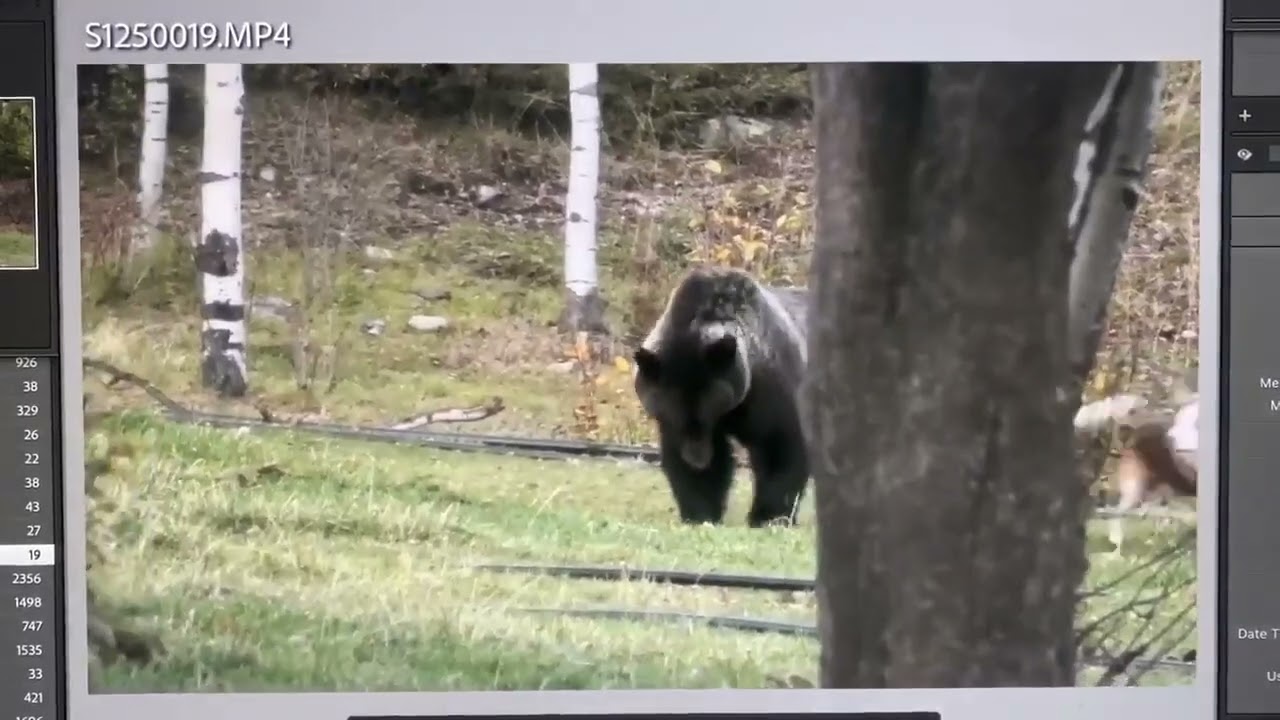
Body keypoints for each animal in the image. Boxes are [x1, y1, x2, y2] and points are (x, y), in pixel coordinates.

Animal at [632, 266, 810, 527]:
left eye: (708, 406)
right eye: (669, 408)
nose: (697, 459)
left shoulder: (772, 390)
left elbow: (780, 449)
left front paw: (768, 516)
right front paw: (700, 512)